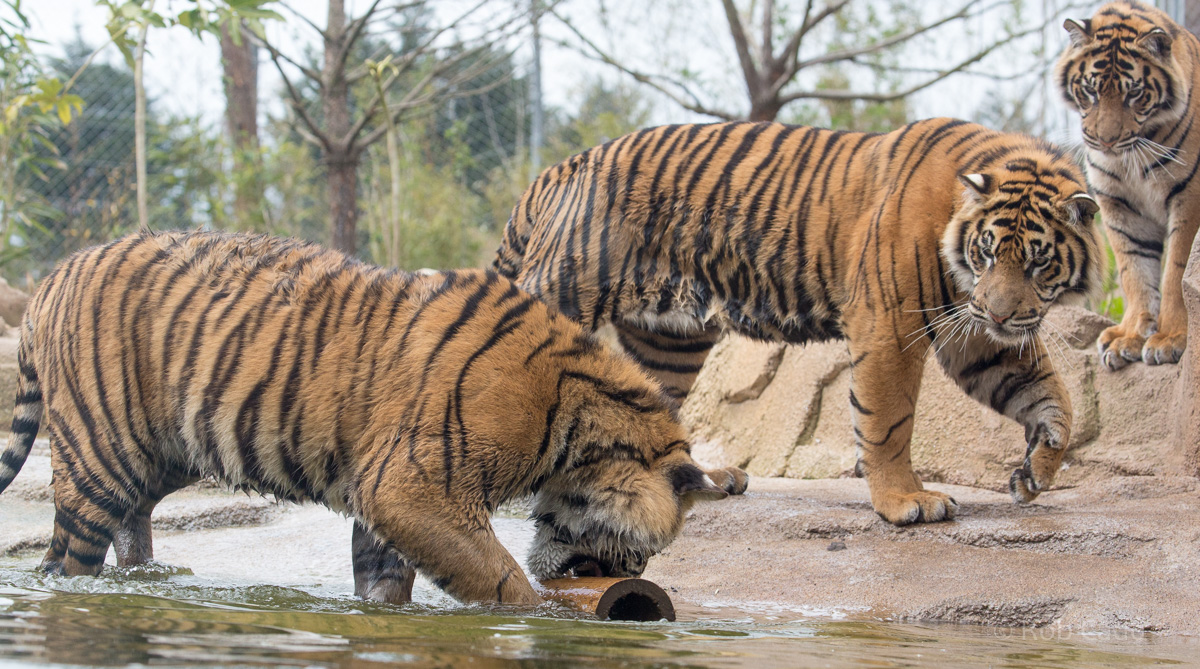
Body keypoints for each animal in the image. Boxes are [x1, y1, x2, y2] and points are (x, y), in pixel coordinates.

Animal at [0, 230, 744, 605]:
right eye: (644, 549)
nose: (626, 578)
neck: (578, 432)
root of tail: (49, 280)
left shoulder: (383, 494)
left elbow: (386, 578)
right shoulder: (413, 487)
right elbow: (500, 574)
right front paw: (541, 617)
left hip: (164, 451)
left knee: (132, 520)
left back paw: (146, 581)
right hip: (101, 454)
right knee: (64, 559)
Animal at [493, 118, 1103, 526]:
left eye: (1037, 261)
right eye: (987, 251)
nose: (1000, 311)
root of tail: (560, 167)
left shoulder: (976, 333)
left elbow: (1050, 396)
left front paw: (1037, 470)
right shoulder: (890, 324)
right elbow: (889, 421)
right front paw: (905, 501)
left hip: (673, 340)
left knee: (656, 405)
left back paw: (709, 479)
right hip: (567, 291)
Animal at [1055, 1, 1200, 370]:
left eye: (1134, 93)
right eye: (1090, 90)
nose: (1105, 141)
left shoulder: (1189, 197)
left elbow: (1175, 272)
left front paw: (1171, 338)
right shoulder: (1120, 205)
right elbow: (1135, 271)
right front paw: (1130, 337)